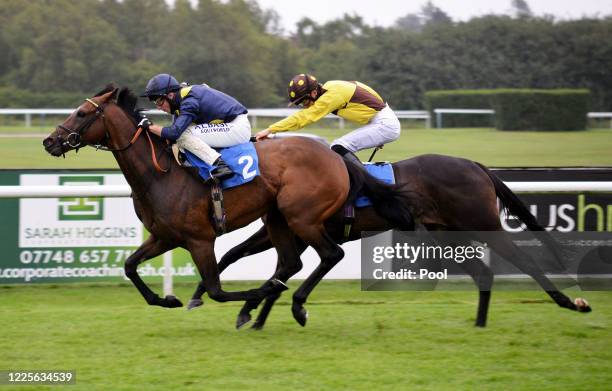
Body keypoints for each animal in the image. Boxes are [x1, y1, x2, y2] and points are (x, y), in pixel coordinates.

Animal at [41, 86, 412, 318]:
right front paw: (166, 299)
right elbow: (130, 266)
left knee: (330, 255)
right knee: (292, 262)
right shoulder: (164, 236)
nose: (49, 141)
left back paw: (292, 303)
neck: (160, 173)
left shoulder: (199, 239)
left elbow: (216, 288)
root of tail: (336, 157)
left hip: (302, 218)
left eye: (82, 113)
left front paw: (247, 295)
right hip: (278, 219)